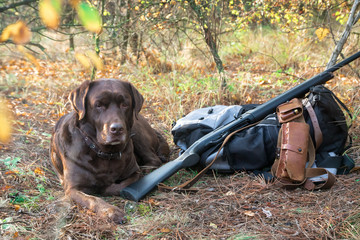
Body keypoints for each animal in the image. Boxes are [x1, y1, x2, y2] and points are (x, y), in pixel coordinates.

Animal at [50, 79, 171, 223]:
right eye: (99, 105)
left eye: (125, 104)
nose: (117, 129)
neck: (103, 152)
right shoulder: (72, 189)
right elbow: (93, 200)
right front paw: (110, 211)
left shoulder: (134, 172)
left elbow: (121, 186)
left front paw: (105, 188)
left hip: (136, 130)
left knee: (154, 159)